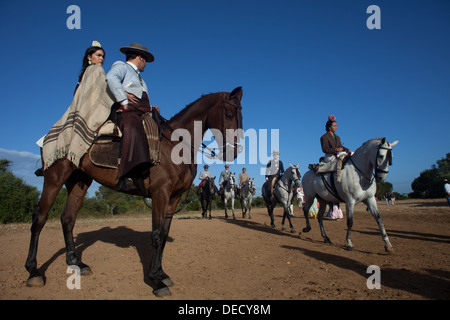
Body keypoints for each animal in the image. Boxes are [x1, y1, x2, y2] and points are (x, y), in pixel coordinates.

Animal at [24, 86, 243, 296]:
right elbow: (156, 235)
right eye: (229, 113)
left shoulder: (174, 198)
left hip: (79, 182)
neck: (175, 145)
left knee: (68, 218)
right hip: (54, 178)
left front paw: (162, 274)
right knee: (39, 218)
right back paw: (33, 272)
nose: (235, 150)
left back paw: (76, 262)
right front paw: (155, 280)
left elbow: (164, 235)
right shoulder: (160, 194)